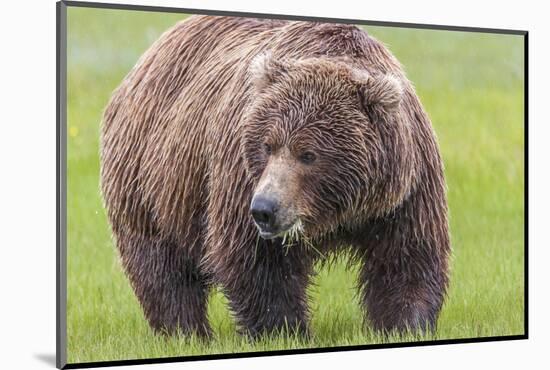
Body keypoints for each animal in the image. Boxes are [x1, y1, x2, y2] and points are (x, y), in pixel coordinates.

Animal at [100, 14, 452, 338]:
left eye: (308, 154)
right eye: (267, 145)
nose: (265, 209)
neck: (338, 212)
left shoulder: (404, 189)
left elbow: (406, 259)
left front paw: (405, 325)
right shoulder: (240, 177)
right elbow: (258, 262)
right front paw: (285, 330)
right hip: (152, 178)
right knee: (162, 265)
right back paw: (186, 331)